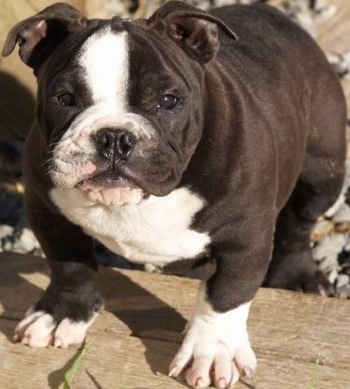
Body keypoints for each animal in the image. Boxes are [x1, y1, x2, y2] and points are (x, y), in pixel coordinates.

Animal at [2, 1, 346, 386]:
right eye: (64, 98)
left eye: (168, 101)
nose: (114, 137)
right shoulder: (47, 212)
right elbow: (68, 265)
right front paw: (63, 314)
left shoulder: (245, 239)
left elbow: (226, 295)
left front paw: (211, 352)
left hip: (323, 168)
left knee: (300, 222)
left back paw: (296, 275)